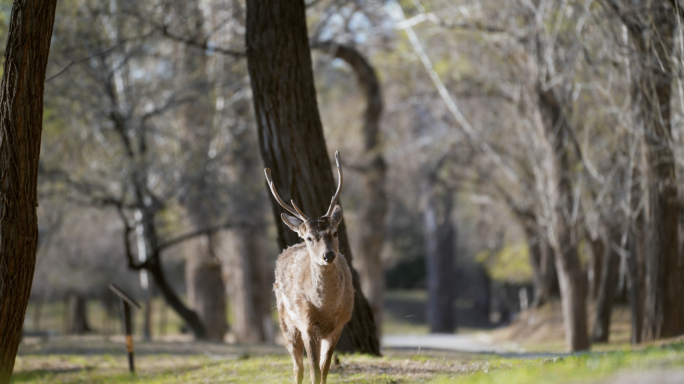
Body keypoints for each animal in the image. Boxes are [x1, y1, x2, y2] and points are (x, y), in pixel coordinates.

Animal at [264, 152, 356, 382]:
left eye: (335, 232)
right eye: (309, 238)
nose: (328, 255)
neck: (325, 308)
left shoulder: (338, 326)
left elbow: (324, 369)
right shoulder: (306, 324)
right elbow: (314, 370)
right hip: (285, 320)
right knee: (298, 367)